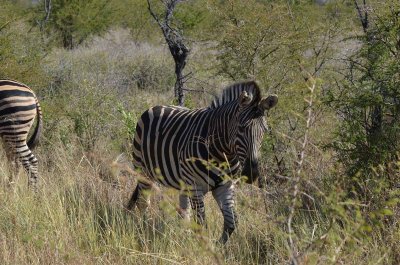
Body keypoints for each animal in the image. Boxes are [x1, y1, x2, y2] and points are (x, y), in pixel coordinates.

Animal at [128, 81, 278, 243]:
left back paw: (183, 235)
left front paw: (218, 246)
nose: (252, 174)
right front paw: (204, 246)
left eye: (264, 130)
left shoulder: (225, 186)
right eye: (241, 128)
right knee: (143, 203)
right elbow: (201, 223)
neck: (222, 153)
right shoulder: (195, 186)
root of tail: (156, 106)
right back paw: (144, 232)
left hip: (183, 182)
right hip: (143, 170)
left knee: (184, 211)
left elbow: (231, 222)